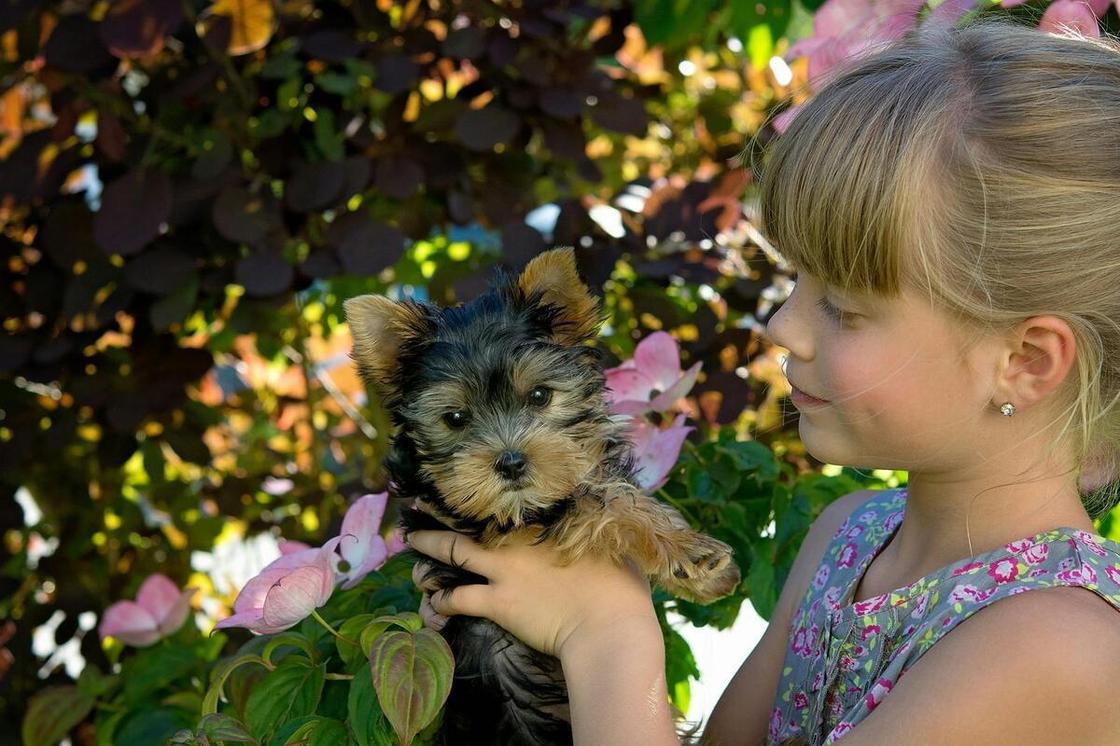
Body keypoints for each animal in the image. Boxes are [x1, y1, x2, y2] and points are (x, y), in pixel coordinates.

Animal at [344, 248, 739, 743]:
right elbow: (598, 503)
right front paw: (692, 555)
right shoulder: (486, 520)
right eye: (454, 417)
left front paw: (696, 567)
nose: (512, 462)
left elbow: (606, 488)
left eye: (539, 395)